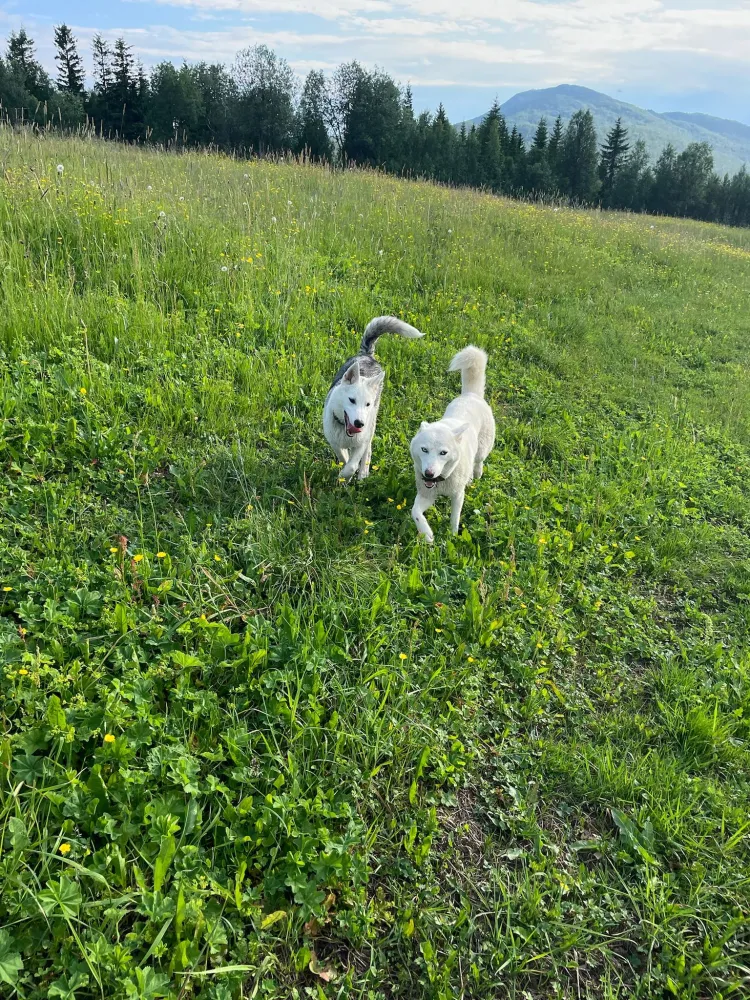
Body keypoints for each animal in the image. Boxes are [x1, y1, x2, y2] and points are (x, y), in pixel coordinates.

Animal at [326, 316, 426, 480]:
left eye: (367, 404)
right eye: (351, 400)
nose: (359, 423)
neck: (344, 428)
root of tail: (367, 355)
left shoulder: (361, 441)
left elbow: (352, 464)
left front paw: (346, 475)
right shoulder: (335, 442)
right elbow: (344, 458)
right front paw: (344, 475)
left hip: (372, 422)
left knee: (368, 449)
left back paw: (363, 473)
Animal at [408, 348, 496, 544]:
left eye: (443, 453)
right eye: (424, 449)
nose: (429, 474)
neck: (441, 482)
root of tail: (471, 395)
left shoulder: (457, 496)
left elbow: (455, 517)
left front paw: (453, 536)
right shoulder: (426, 495)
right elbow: (415, 511)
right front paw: (427, 534)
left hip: (482, 449)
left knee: (478, 462)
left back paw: (476, 474)